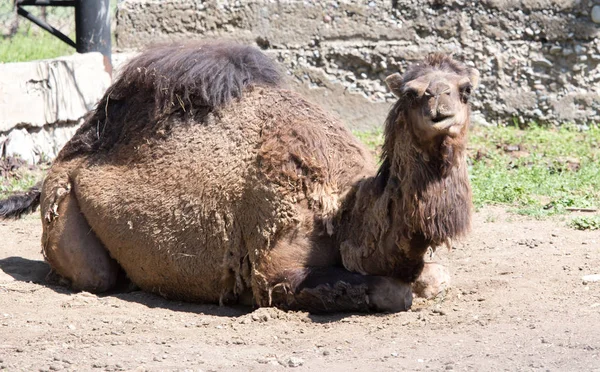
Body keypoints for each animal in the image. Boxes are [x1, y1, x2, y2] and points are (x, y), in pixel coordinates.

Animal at [0, 41, 478, 314]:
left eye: (465, 89)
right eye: (411, 92)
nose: (441, 109)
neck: (344, 216)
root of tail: (62, 162)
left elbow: (436, 278)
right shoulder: (274, 270)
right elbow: (392, 294)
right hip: (64, 205)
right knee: (92, 276)